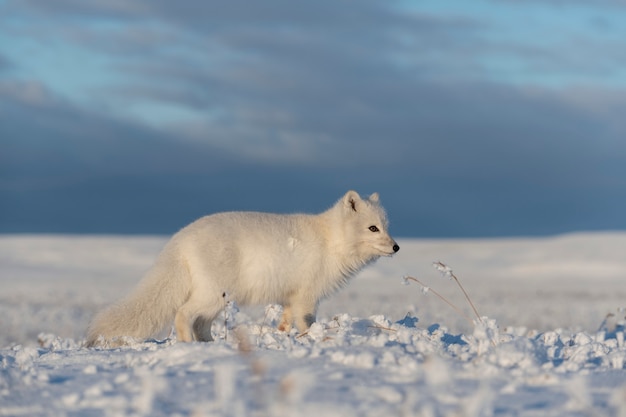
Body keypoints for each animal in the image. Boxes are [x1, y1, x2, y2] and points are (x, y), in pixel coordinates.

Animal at [85, 190, 398, 346]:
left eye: (386, 227)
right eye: (373, 228)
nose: (396, 247)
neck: (332, 241)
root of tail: (180, 238)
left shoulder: (290, 297)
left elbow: (285, 322)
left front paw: (284, 336)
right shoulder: (307, 297)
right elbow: (306, 323)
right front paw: (312, 339)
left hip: (219, 299)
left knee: (201, 323)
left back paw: (211, 344)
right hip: (213, 294)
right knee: (183, 314)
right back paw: (189, 344)